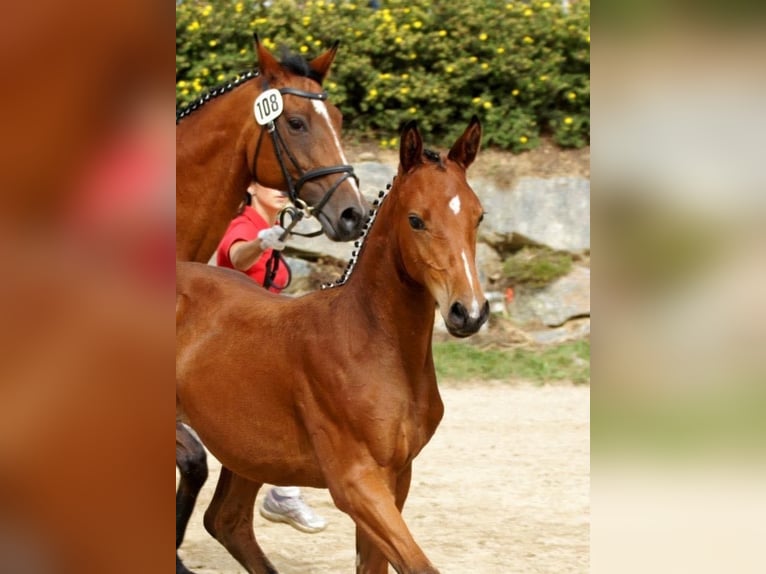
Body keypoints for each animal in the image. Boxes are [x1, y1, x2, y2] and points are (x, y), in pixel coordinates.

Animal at [176, 117, 489, 574]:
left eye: (478, 216)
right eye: (415, 220)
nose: (469, 312)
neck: (369, 342)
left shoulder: (396, 478)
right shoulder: (355, 482)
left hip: (248, 449)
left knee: (226, 520)